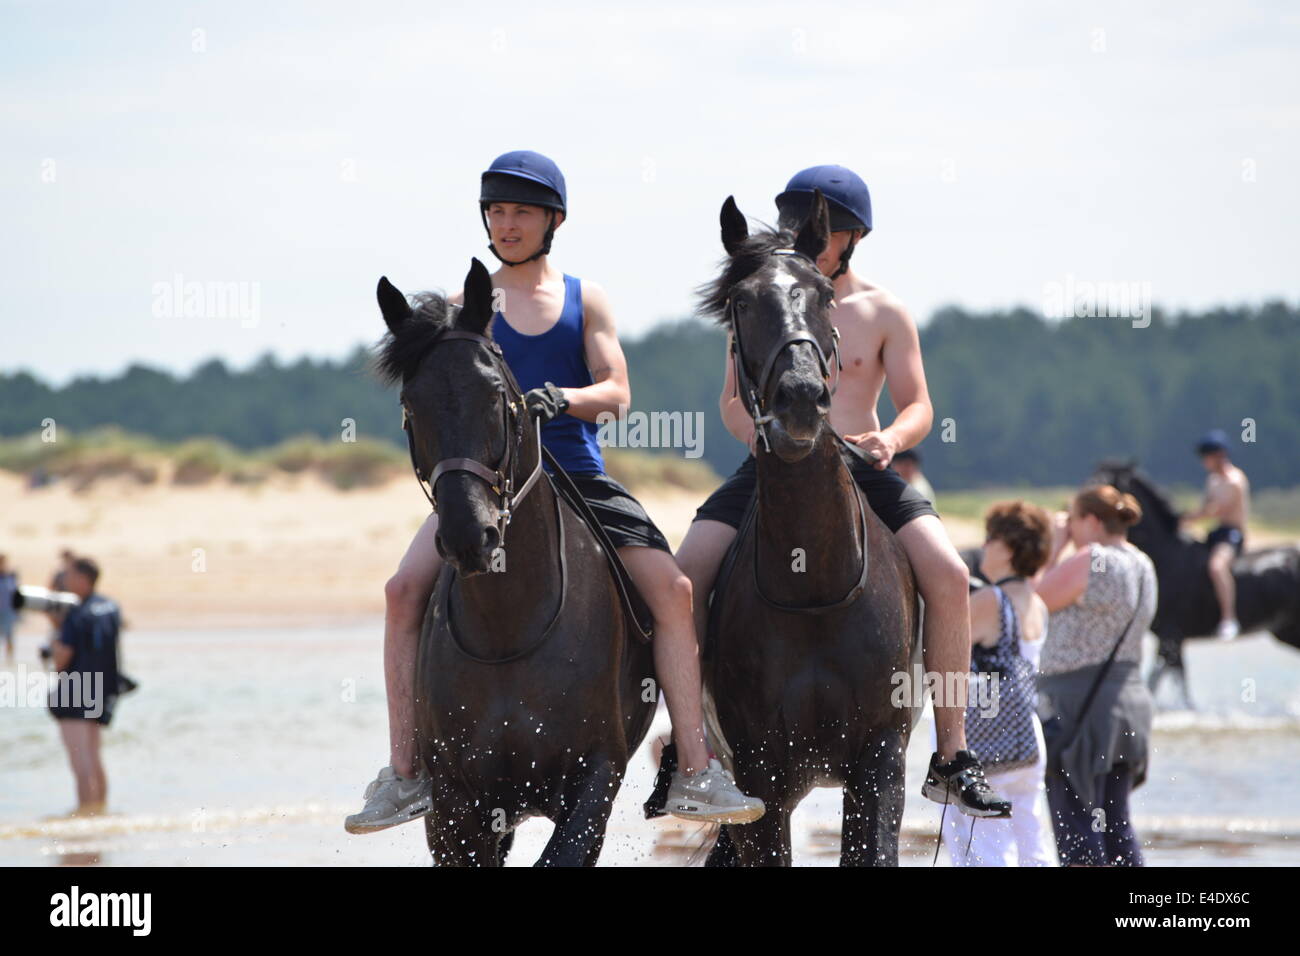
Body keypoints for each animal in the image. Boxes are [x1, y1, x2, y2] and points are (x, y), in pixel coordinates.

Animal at [377, 261, 660, 868]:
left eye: (495, 395)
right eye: (412, 404)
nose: (470, 535)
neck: (507, 629)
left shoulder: (594, 779)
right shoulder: (454, 804)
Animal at [1092, 460, 1294, 707]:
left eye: (1107, 483)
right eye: (1092, 478)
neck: (1166, 557)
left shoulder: (1171, 634)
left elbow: (1163, 680)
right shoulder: (1172, 638)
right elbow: (1173, 680)